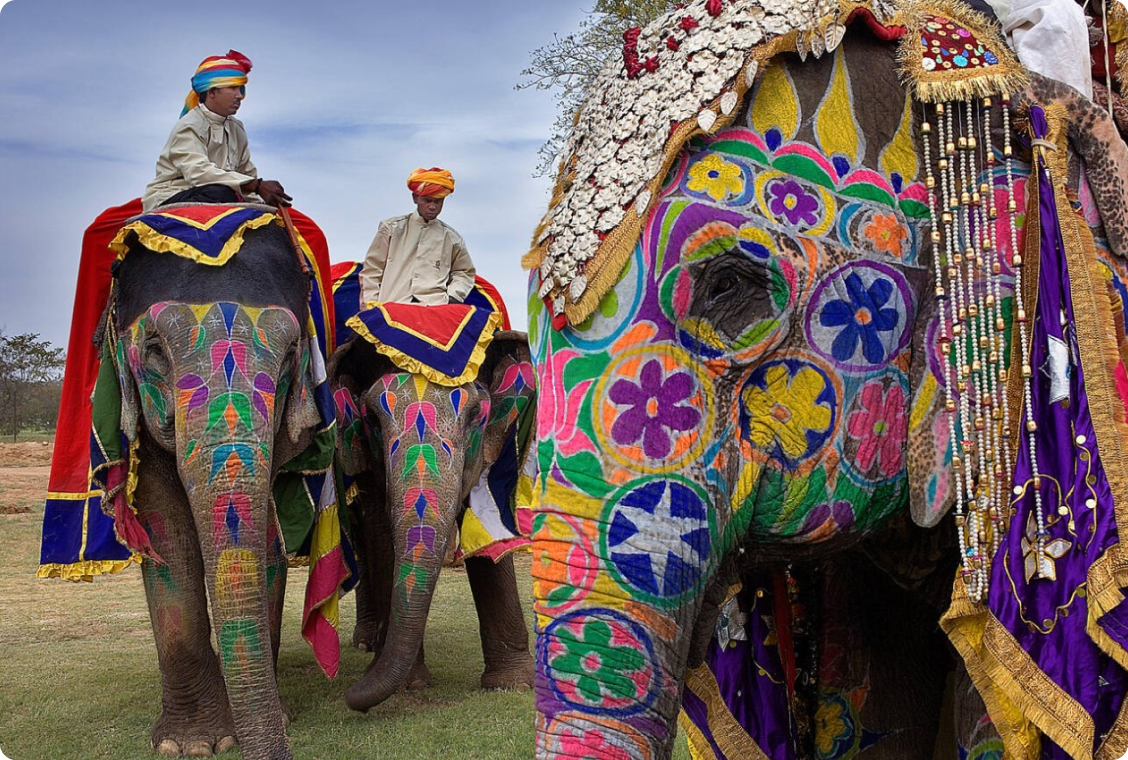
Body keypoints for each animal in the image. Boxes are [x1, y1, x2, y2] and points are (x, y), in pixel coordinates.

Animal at [99, 205, 342, 760]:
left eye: (291, 354)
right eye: (154, 350)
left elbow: (263, 538)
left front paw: (269, 717)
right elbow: (162, 525)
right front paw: (192, 744)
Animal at [327, 325, 537, 712]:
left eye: (475, 414)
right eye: (371, 418)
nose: (352, 698)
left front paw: (513, 685)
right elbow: (382, 534)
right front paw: (408, 684)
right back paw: (367, 646)